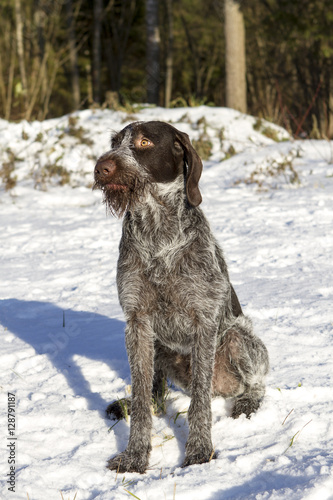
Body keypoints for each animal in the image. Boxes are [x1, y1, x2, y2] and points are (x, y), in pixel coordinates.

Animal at [92, 120, 268, 472]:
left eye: (144, 142)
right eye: (115, 143)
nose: (100, 168)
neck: (156, 229)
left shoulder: (204, 321)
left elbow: (199, 401)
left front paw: (199, 451)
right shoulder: (137, 322)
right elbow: (143, 397)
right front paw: (135, 456)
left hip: (239, 339)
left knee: (254, 382)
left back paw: (246, 402)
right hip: (158, 346)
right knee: (155, 394)